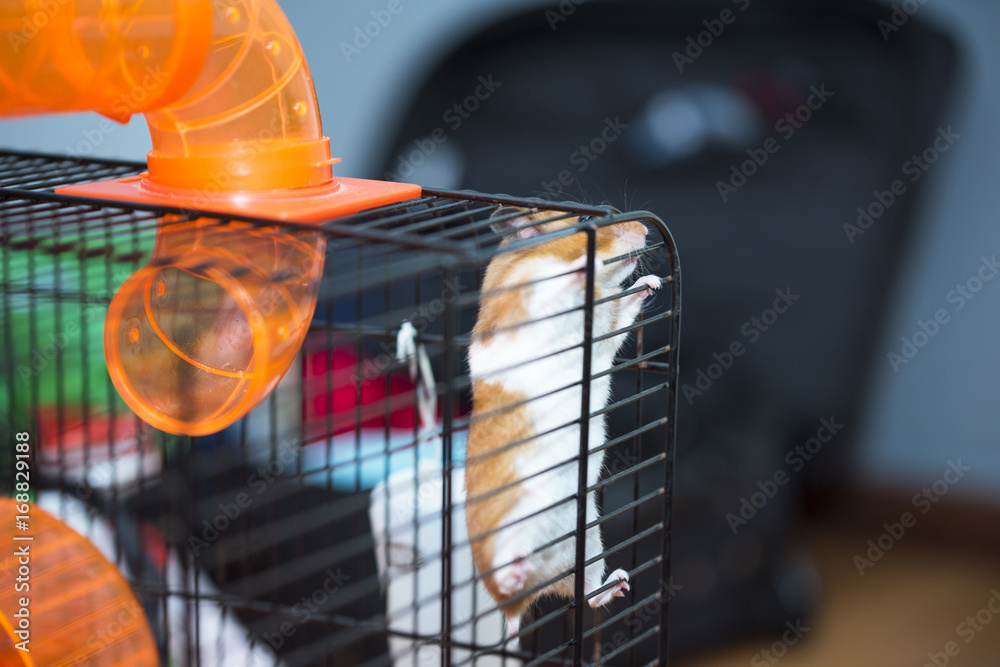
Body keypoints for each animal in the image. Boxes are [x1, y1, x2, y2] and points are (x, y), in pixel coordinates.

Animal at [465, 206, 661, 643]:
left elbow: (624, 312)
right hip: (510, 530)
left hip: (587, 544)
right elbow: (558, 285)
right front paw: (584, 265)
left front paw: (652, 282)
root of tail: (519, 604)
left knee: (588, 594)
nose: (645, 230)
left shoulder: (607, 331)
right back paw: (513, 571)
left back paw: (619, 583)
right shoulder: (529, 302)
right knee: (507, 577)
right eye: (589, 222)